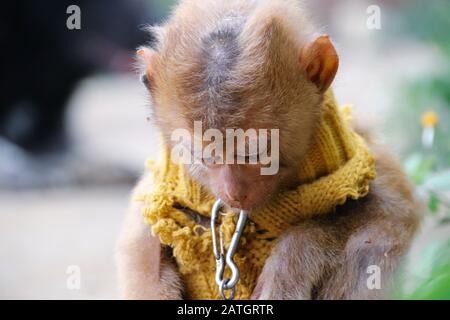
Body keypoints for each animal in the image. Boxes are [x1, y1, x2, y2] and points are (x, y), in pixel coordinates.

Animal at [116, 0, 422, 300]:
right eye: (204, 157)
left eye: (256, 153)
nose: (234, 193)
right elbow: (143, 238)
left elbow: (391, 211)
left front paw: (295, 255)